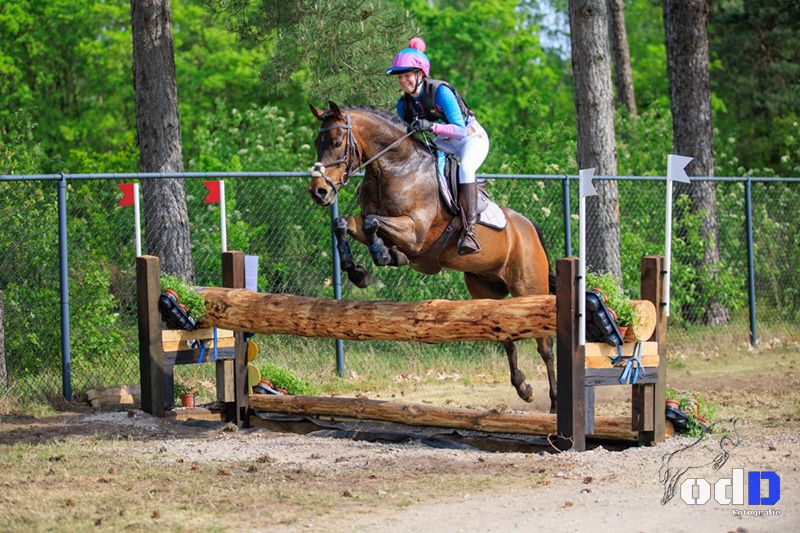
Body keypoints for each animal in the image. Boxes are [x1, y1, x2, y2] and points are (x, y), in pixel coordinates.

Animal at [307, 101, 556, 411]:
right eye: (317, 143)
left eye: (337, 142)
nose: (318, 191)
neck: (396, 167)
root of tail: (529, 227)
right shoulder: (370, 221)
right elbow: (343, 223)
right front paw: (358, 271)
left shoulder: (415, 232)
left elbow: (373, 223)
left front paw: (383, 254)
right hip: (485, 291)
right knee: (506, 335)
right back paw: (523, 388)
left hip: (529, 288)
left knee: (545, 346)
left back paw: (555, 401)